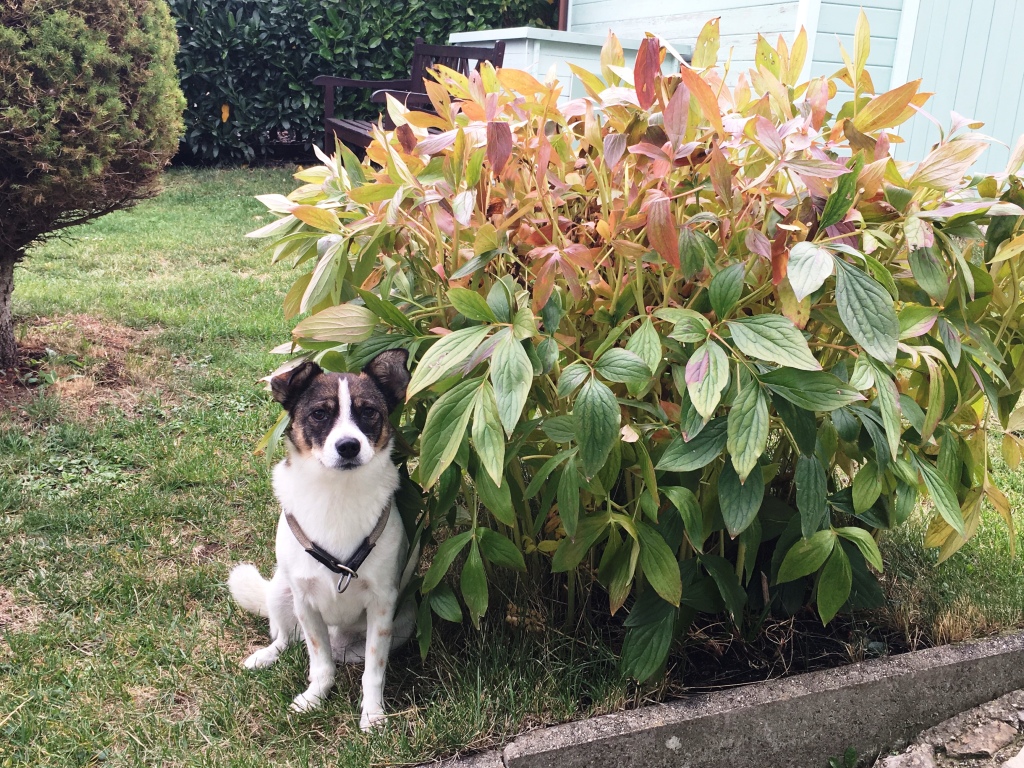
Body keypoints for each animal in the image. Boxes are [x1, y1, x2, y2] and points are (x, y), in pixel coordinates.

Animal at [228, 349, 416, 729]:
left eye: (368, 411)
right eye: (319, 414)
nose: (348, 446)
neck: (337, 494)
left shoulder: (383, 605)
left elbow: (374, 670)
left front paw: (372, 713)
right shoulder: (305, 602)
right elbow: (319, 663)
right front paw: (314, 697)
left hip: (405, 619)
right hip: (281, 592)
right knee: (286, 638)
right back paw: (265, 656)